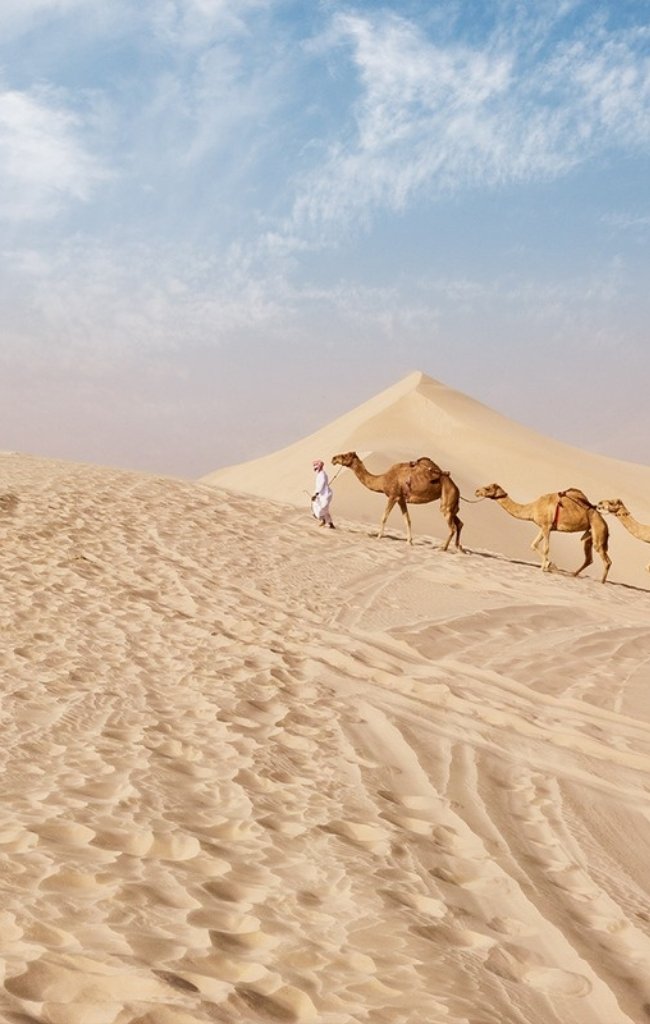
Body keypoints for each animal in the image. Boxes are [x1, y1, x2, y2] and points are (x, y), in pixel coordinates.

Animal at [331, 452, 463, 549]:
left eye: (345, 455)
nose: (333, 458)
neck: (382, 480)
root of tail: (457, 488)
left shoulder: (393, 496)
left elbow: (384, 517)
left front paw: (379, 536)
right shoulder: (401, 499)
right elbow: (407, 520)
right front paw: (409, 542)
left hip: (447, 499)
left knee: (452, 527)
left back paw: (443, 548)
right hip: (452, 505)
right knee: (459, 523)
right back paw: (458, 548)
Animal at [475, 483, 611, 583]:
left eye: (487, 488)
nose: (476, 491)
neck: (532, 508)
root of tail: (605, 523)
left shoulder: (546, 526)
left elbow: (546, 548)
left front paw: (546, 566)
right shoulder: (543, 527)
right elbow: (533, 545)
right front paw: (548, 565)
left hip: (598, 531)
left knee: (606, 561)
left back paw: (602, 582)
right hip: (590, 536)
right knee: (589, 558)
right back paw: (574, 574)